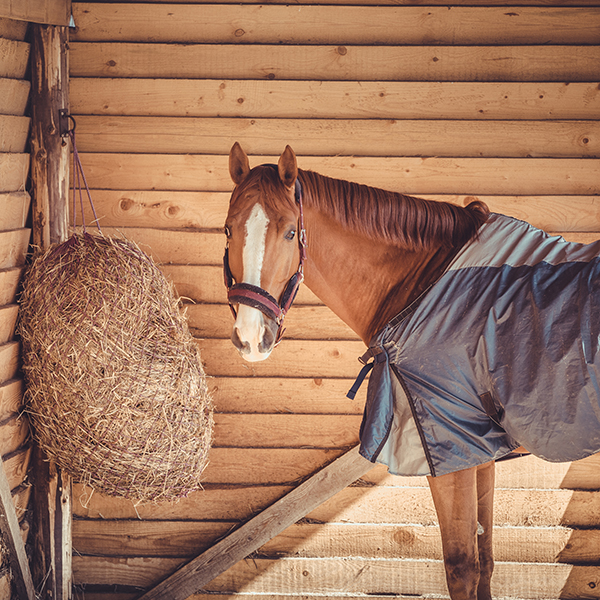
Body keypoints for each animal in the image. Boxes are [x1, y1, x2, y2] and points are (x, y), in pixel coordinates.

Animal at [224, 142, 600, 600]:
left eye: (290, 233)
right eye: (228, 230)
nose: (251, 336)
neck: (430, 289)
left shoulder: (451, 448)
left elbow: (462, 566)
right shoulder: (481, 448)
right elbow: (486, 558)